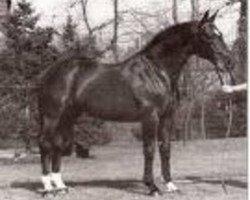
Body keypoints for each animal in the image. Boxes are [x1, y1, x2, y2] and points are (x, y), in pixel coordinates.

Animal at [37, 10, 234, 196]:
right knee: (45, 143)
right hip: (52, 116)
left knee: (58, 144)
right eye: (208, 36)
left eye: (220, 34)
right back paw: (48, 188)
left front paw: (170, 185)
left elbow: (165, 148)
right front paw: (152, 187)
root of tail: (51, 71)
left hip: (68, 116)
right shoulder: (150, 117)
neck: (157, 71)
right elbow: (149, 149)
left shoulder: (167, 116)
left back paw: (60, 186)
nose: (229, 62)